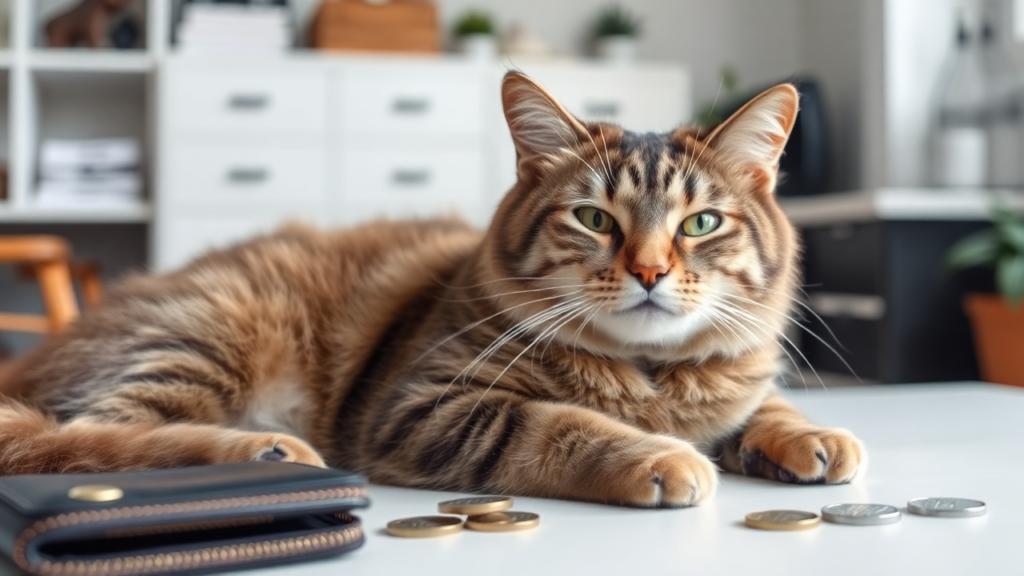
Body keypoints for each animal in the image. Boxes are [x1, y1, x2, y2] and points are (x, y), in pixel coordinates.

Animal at [0, 72, 864, 506]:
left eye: (700, 224)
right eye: (593, 218)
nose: (649, 271)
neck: (650, 378)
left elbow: (762, 404)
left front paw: (809, 435)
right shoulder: (425, 406)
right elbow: (557, 426)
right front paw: (660, 455)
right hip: (211, 331)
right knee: (78, 442)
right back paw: (263, 450)